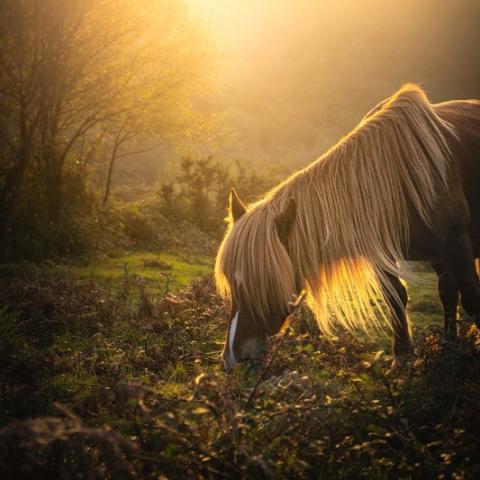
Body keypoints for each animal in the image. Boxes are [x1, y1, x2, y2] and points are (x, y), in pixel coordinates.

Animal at [215, 83, 480, 372]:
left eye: (266, 283)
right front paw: (402, 358)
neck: (394, 178)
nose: (233, 359)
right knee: (447, 291)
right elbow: (395, 297)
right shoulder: (381, 256)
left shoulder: (457, 243)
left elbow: (472, 297)